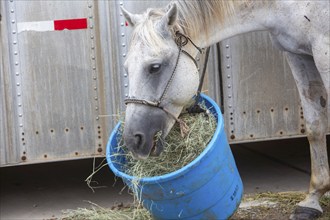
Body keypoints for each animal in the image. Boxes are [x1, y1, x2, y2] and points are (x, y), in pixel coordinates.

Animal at [121, 0, 330, 219]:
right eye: (126, 68)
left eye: (155, 67)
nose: (133, 140)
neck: (281, 6)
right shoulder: (298, 55)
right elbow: (315, 126)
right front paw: (312, 201)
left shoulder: (323, 51)